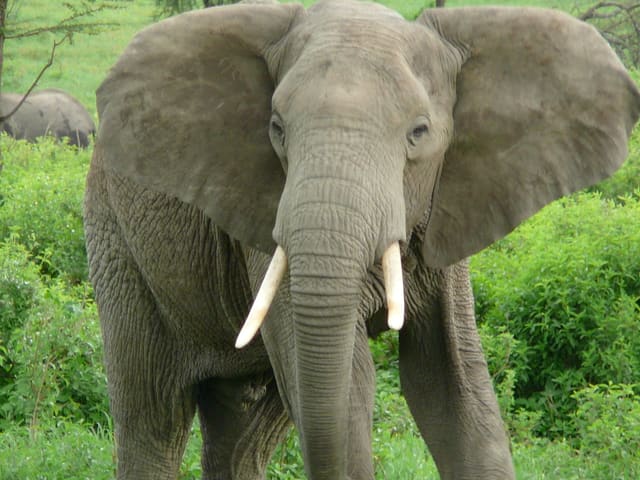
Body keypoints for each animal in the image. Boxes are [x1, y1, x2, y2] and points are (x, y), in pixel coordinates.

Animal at [83, 1, 640, 479]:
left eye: (419, 132)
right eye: (276, 129)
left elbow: (454, 388)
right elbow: (352, 386)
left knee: (246, 429)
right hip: (116, 240)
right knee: (151, 414)